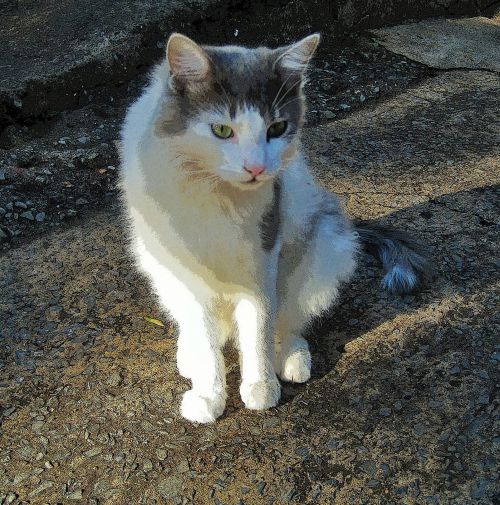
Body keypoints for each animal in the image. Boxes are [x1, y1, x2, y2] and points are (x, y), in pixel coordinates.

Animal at [119, 33, 428, 424]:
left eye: (276, 129)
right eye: (222, 130)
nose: (256, 168)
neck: (216, 192)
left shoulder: (264, 252)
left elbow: (259, 325)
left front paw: (260, 386)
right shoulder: (184, 272)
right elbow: (205, 338)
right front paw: (208, 393)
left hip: (323, 245)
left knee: (290, 317)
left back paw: (291, 356)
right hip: (157, 267)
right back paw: (189, 352)